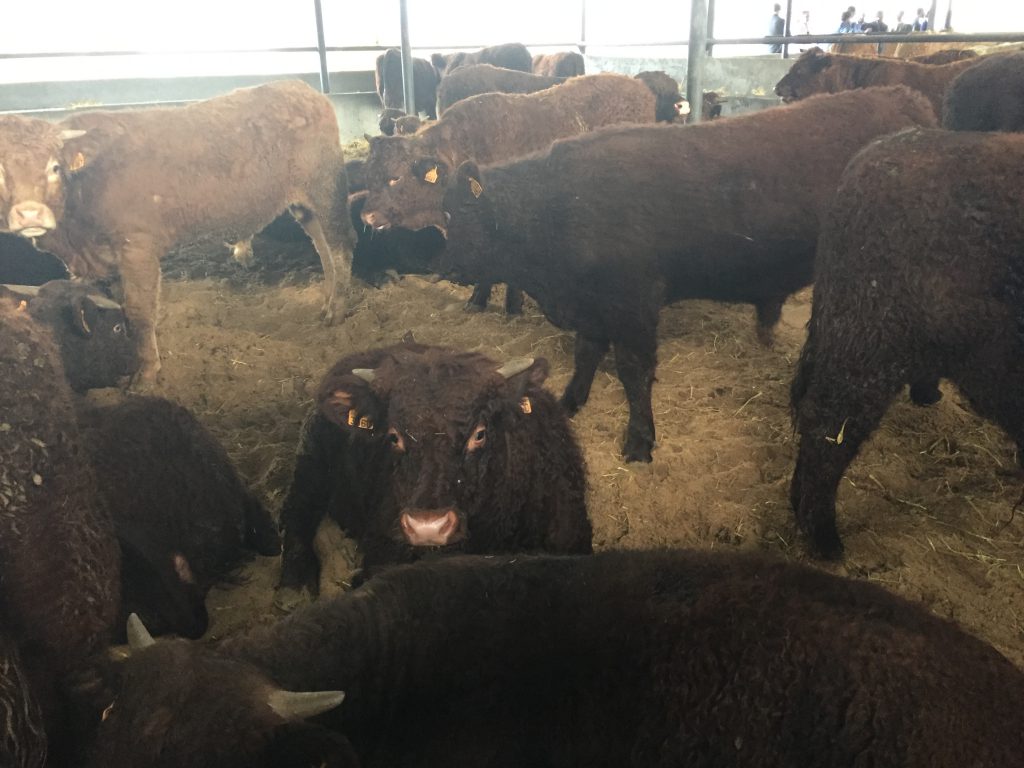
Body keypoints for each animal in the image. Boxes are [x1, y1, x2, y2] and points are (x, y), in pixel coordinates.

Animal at [0, 80, 356, 382]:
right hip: (304, 206)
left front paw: (147, 373)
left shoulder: (137, 248)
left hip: (325, 189)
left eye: (54, 167)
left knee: (340, 247)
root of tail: (301, 88)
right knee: (323, 248)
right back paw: (326, 302)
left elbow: (139, 312)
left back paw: (336, 311)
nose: (30, 213)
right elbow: (117, 310)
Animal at [437, 87, 937, 462]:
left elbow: (634, 372)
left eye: (460, 214)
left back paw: (926, 391)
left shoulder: (633, 306)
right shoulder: (593, 307)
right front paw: (571, 402)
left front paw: (639, 442)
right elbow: (586, 355)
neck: (558, 206)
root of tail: (908, 101)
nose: (442, 266)